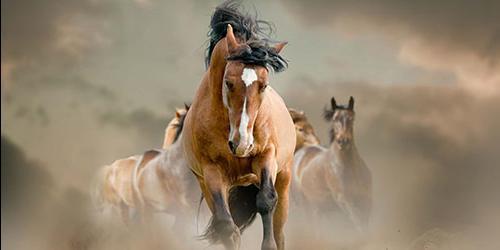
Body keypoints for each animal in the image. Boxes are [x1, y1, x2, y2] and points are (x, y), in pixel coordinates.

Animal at [182, 2, 294, 250]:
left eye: (264, 85)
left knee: (280, 229)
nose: (242, 143)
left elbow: (266, 201)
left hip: (284, 177)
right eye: (228, 82)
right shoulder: (212, 171)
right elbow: (227, 226)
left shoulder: (267, 156)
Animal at [292, 96, 372, 231]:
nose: (343, 141)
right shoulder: (345, 201)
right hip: (308, 207)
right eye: (334, 119)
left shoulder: (366, 200)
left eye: (352, 118)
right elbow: (358, 225)